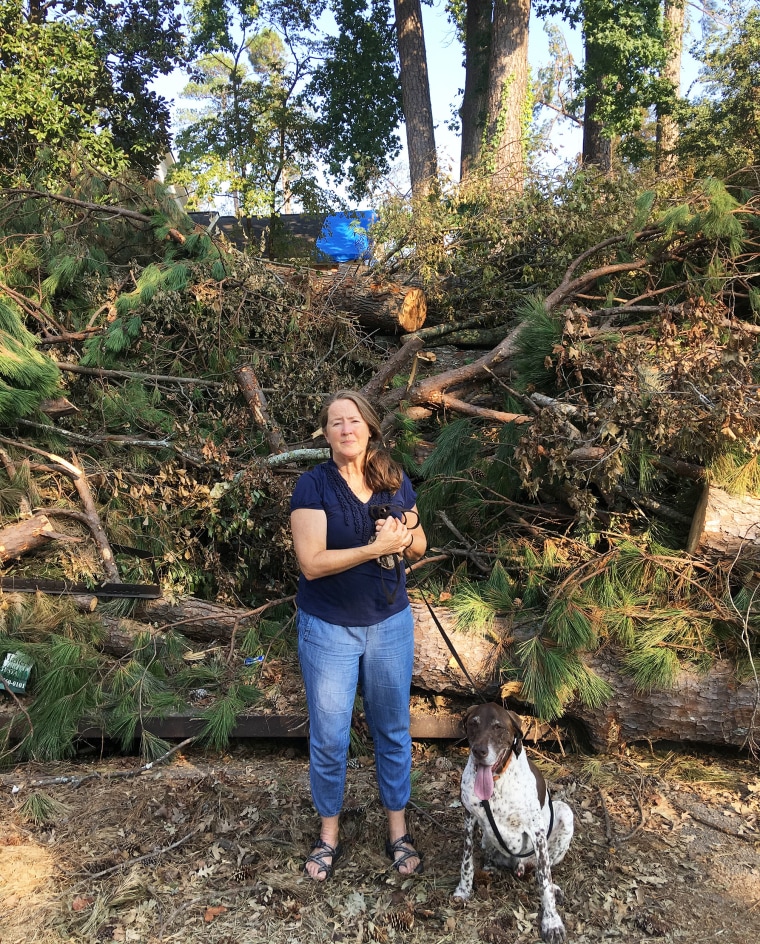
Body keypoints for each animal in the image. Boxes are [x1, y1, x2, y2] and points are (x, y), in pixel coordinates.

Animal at [454, 700, 572, 944]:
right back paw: (491, 867)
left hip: (565, 813)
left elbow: (544, 881)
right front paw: (463, 890)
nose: (479, 751)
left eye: (498, 727)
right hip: (487, 840)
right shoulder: (469, 818)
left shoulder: (537, 832)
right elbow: (466, 862)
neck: (497, 779)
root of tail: (518, 865)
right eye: (473, 723)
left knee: (541, 871)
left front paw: (551, 922)